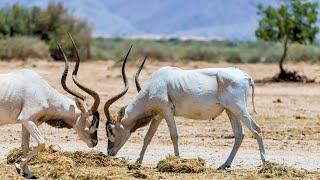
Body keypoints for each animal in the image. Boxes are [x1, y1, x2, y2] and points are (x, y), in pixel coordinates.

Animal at [0, 34, 100, 179]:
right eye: (92, 121)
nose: (95, 142)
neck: (44, 92)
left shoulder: (27, 122)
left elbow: (25, 146)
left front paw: (27, 172)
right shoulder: (26, 119)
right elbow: (42, 143)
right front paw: (18, 166)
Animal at [106, 57, 266, 169]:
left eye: (110, 129)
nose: (109, 152)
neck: (154, 84)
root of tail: (246, 77)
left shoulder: (167, 111)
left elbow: (174, 136)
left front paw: (177, 160)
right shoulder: (158, 115)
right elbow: (148, 137)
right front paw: (138, 161)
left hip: (239, 109)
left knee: (256, 129)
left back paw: (265, 163)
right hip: (231, 111)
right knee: (239, 134)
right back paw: (224, 165)